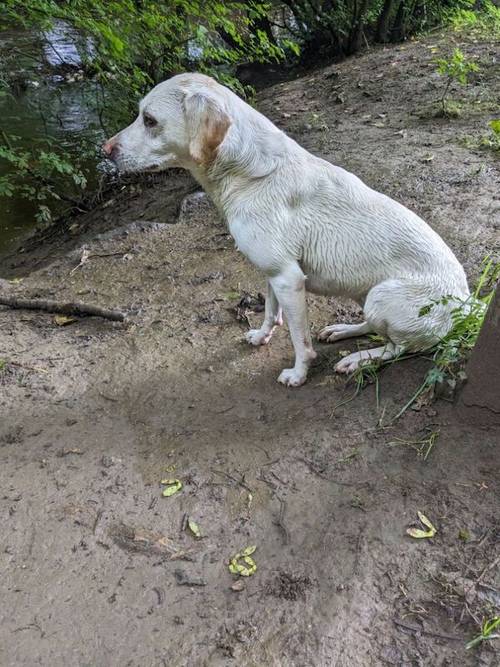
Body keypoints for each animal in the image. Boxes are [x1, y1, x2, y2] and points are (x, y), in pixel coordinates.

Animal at [103, 73, 470, 386]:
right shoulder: (271, 274)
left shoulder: (288, 278)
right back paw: (342, 330)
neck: (251, 173)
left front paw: (298, 374)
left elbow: (298, 339)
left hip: (384, 296)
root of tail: (469, 306)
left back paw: (359, 359)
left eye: (149, 120)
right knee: (374, 326)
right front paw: (261, 335)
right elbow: (269, 311)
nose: (104, 150)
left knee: (399, 347)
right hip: (367, 296)